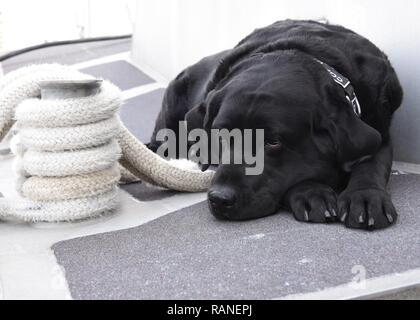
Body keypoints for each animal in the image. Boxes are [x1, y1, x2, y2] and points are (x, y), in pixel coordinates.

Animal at [148, 19, 404, 230]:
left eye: (272, 142)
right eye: (221, 136)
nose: (220, 199)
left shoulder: (379, 131)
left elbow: (373, 163)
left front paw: (365, 196)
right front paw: (310, 192)